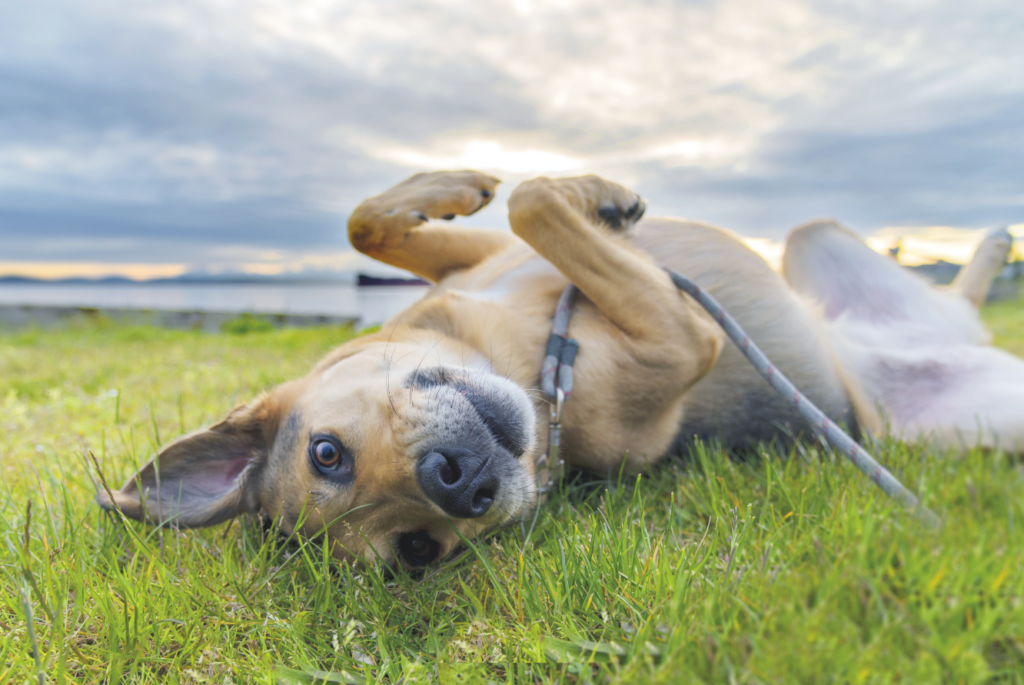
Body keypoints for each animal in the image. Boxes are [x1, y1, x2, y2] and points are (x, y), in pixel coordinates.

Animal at [97, 169, 1024, 565]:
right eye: (418, 550)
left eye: (327, 452)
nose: (458, 482)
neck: (519, 353)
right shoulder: (682, 336)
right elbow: (536, 204)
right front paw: (588, 195)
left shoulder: (483, 259)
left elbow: (385, 221)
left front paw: (472, 182)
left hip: (813, 239)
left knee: (952, 291)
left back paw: (989, 243)